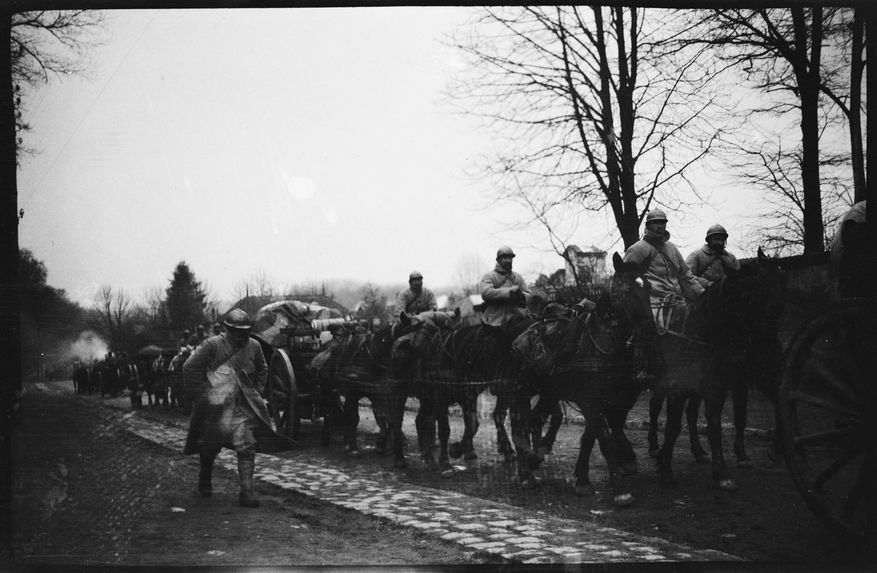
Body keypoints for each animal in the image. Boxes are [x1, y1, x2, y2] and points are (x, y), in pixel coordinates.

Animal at [504, 252, 652, 502]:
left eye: (649, 287)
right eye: (627, 290)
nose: (651, 329)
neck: (601, 342)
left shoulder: (604, 400)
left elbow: (590, 437)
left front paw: (582, 479)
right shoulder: (590, 400)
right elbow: (605, 438)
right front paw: (620, 490)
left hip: (548, 392)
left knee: (535, 419)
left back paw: (535, 456)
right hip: (519, 389)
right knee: (518, 426)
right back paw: (525, 475)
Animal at [652, 248, 788, 490]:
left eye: (783, 281)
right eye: (761, 282)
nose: (773, 319)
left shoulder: (732, 382)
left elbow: (721, 421)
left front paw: (727, 468)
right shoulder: (681, 386)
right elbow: (673, 425)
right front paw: (665, 467)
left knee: (690, 413)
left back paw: (697, 451)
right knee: (654, 409)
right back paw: (652, 449)